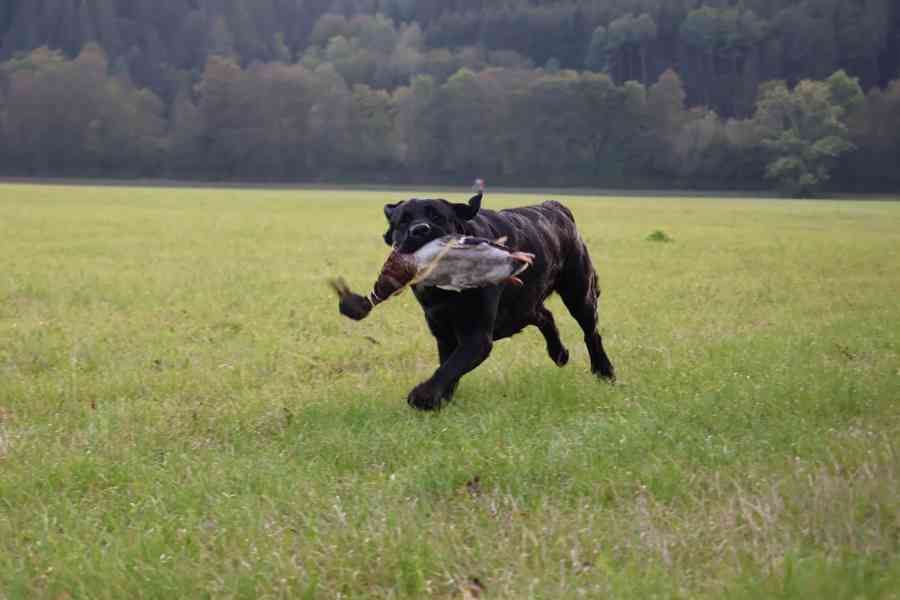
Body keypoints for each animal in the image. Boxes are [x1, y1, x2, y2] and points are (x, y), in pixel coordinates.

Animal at [342, 191, 612, 408]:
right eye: (403, 220)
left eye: (438, 216)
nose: (420, 230)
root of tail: (555, 206)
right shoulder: (444, 333)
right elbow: (447, 366)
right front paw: (442, 398)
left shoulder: (477, 337)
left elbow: (450, 367)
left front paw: (423, 397)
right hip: (525, 305)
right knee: (544, 315)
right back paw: (559, 353)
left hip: (579, 294)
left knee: (591, 333)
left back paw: (604, 371)